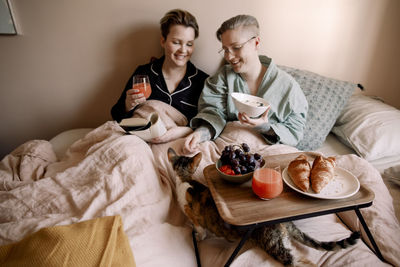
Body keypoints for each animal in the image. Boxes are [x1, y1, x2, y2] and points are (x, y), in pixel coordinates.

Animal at [167, 148, 360, 266]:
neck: (185, 179)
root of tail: (285, 221)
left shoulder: (194, 216)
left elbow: (199, 229)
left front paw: (198, 237)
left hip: (273, 244)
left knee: (295, 260)